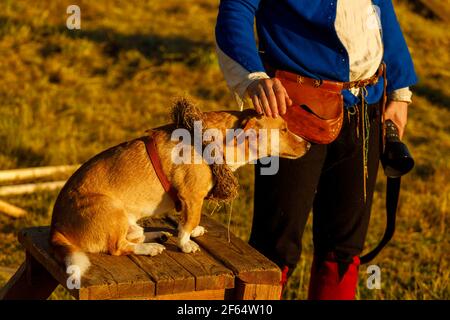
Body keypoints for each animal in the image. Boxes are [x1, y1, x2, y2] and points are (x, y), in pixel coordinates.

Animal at [48, 101, 310, 276]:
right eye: (284, 129)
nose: (308, 145)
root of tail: (55, 229)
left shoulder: (189, 201)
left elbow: (188, 221)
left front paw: (190, 233)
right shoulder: (192, 196)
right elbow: (189, 221)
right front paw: (186, 243)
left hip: (126, 218)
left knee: (134, 234)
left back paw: (157, 235)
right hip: (111, 208)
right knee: (118, 247)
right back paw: (151, 248)